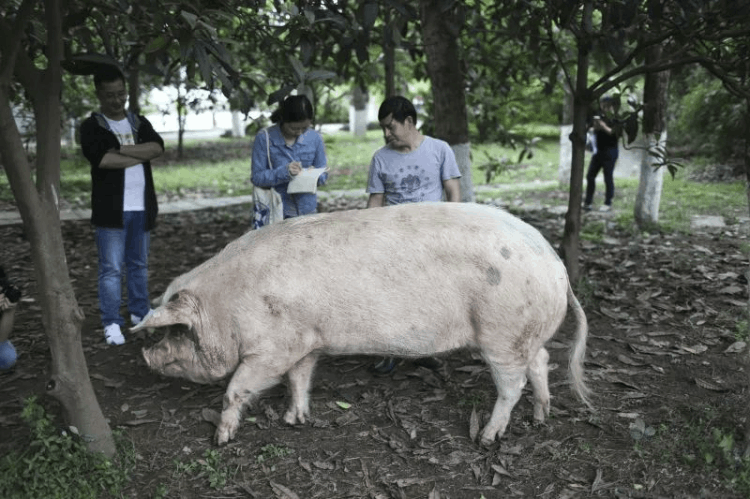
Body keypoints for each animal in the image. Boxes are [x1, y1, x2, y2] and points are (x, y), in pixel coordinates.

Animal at [134, 201, 592, 448]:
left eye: (176, 330)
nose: (145, 354)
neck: (226, 305)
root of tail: (556, 266)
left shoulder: (271, 349)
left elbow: (237, 388)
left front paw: (221, 439)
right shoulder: (305, 341)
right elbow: (299, 379)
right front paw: (294, 421)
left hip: (501, 332)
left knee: (513, 384)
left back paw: (486, 439)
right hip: (521, 334)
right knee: (542, 361)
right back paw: (541, 417)